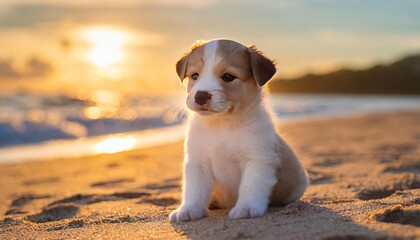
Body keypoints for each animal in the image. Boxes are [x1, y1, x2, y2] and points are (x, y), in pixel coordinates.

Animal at [169, 39, 310, 221]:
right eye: (194, 76)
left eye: (228, 77)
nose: (200, 96)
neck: (221, 125)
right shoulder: (197, 161)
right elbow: (195, 189)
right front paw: (189, 209)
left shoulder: (257, 160)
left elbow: (250, 186)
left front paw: (247, 208)